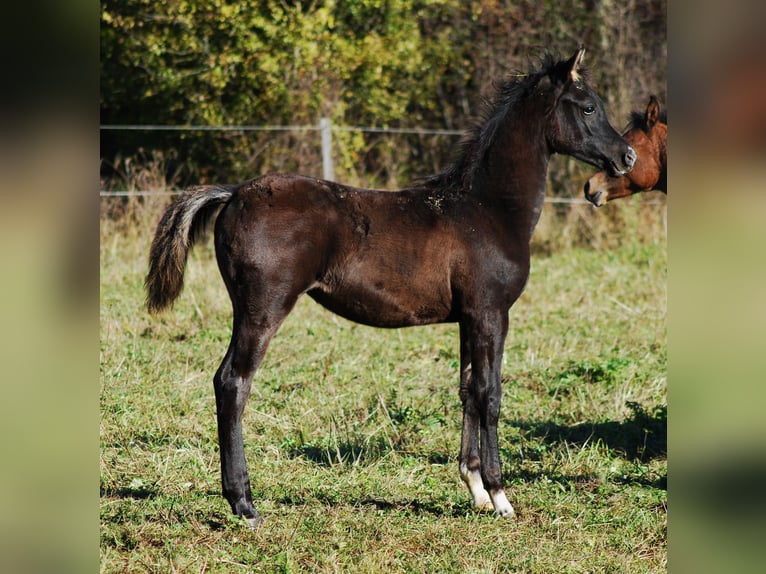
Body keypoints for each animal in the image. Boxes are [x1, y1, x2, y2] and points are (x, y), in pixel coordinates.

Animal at [146, 47, 636, 528]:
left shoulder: (468, 318)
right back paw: (245, 505)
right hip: (263, 308)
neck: (488, 208)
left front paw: (475, 489)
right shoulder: (491, 313)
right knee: (233, 381)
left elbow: (467, 391)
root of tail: (232, 194)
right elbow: (491, 395)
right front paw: (500, 497)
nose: (627, 156)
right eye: (588, 106)